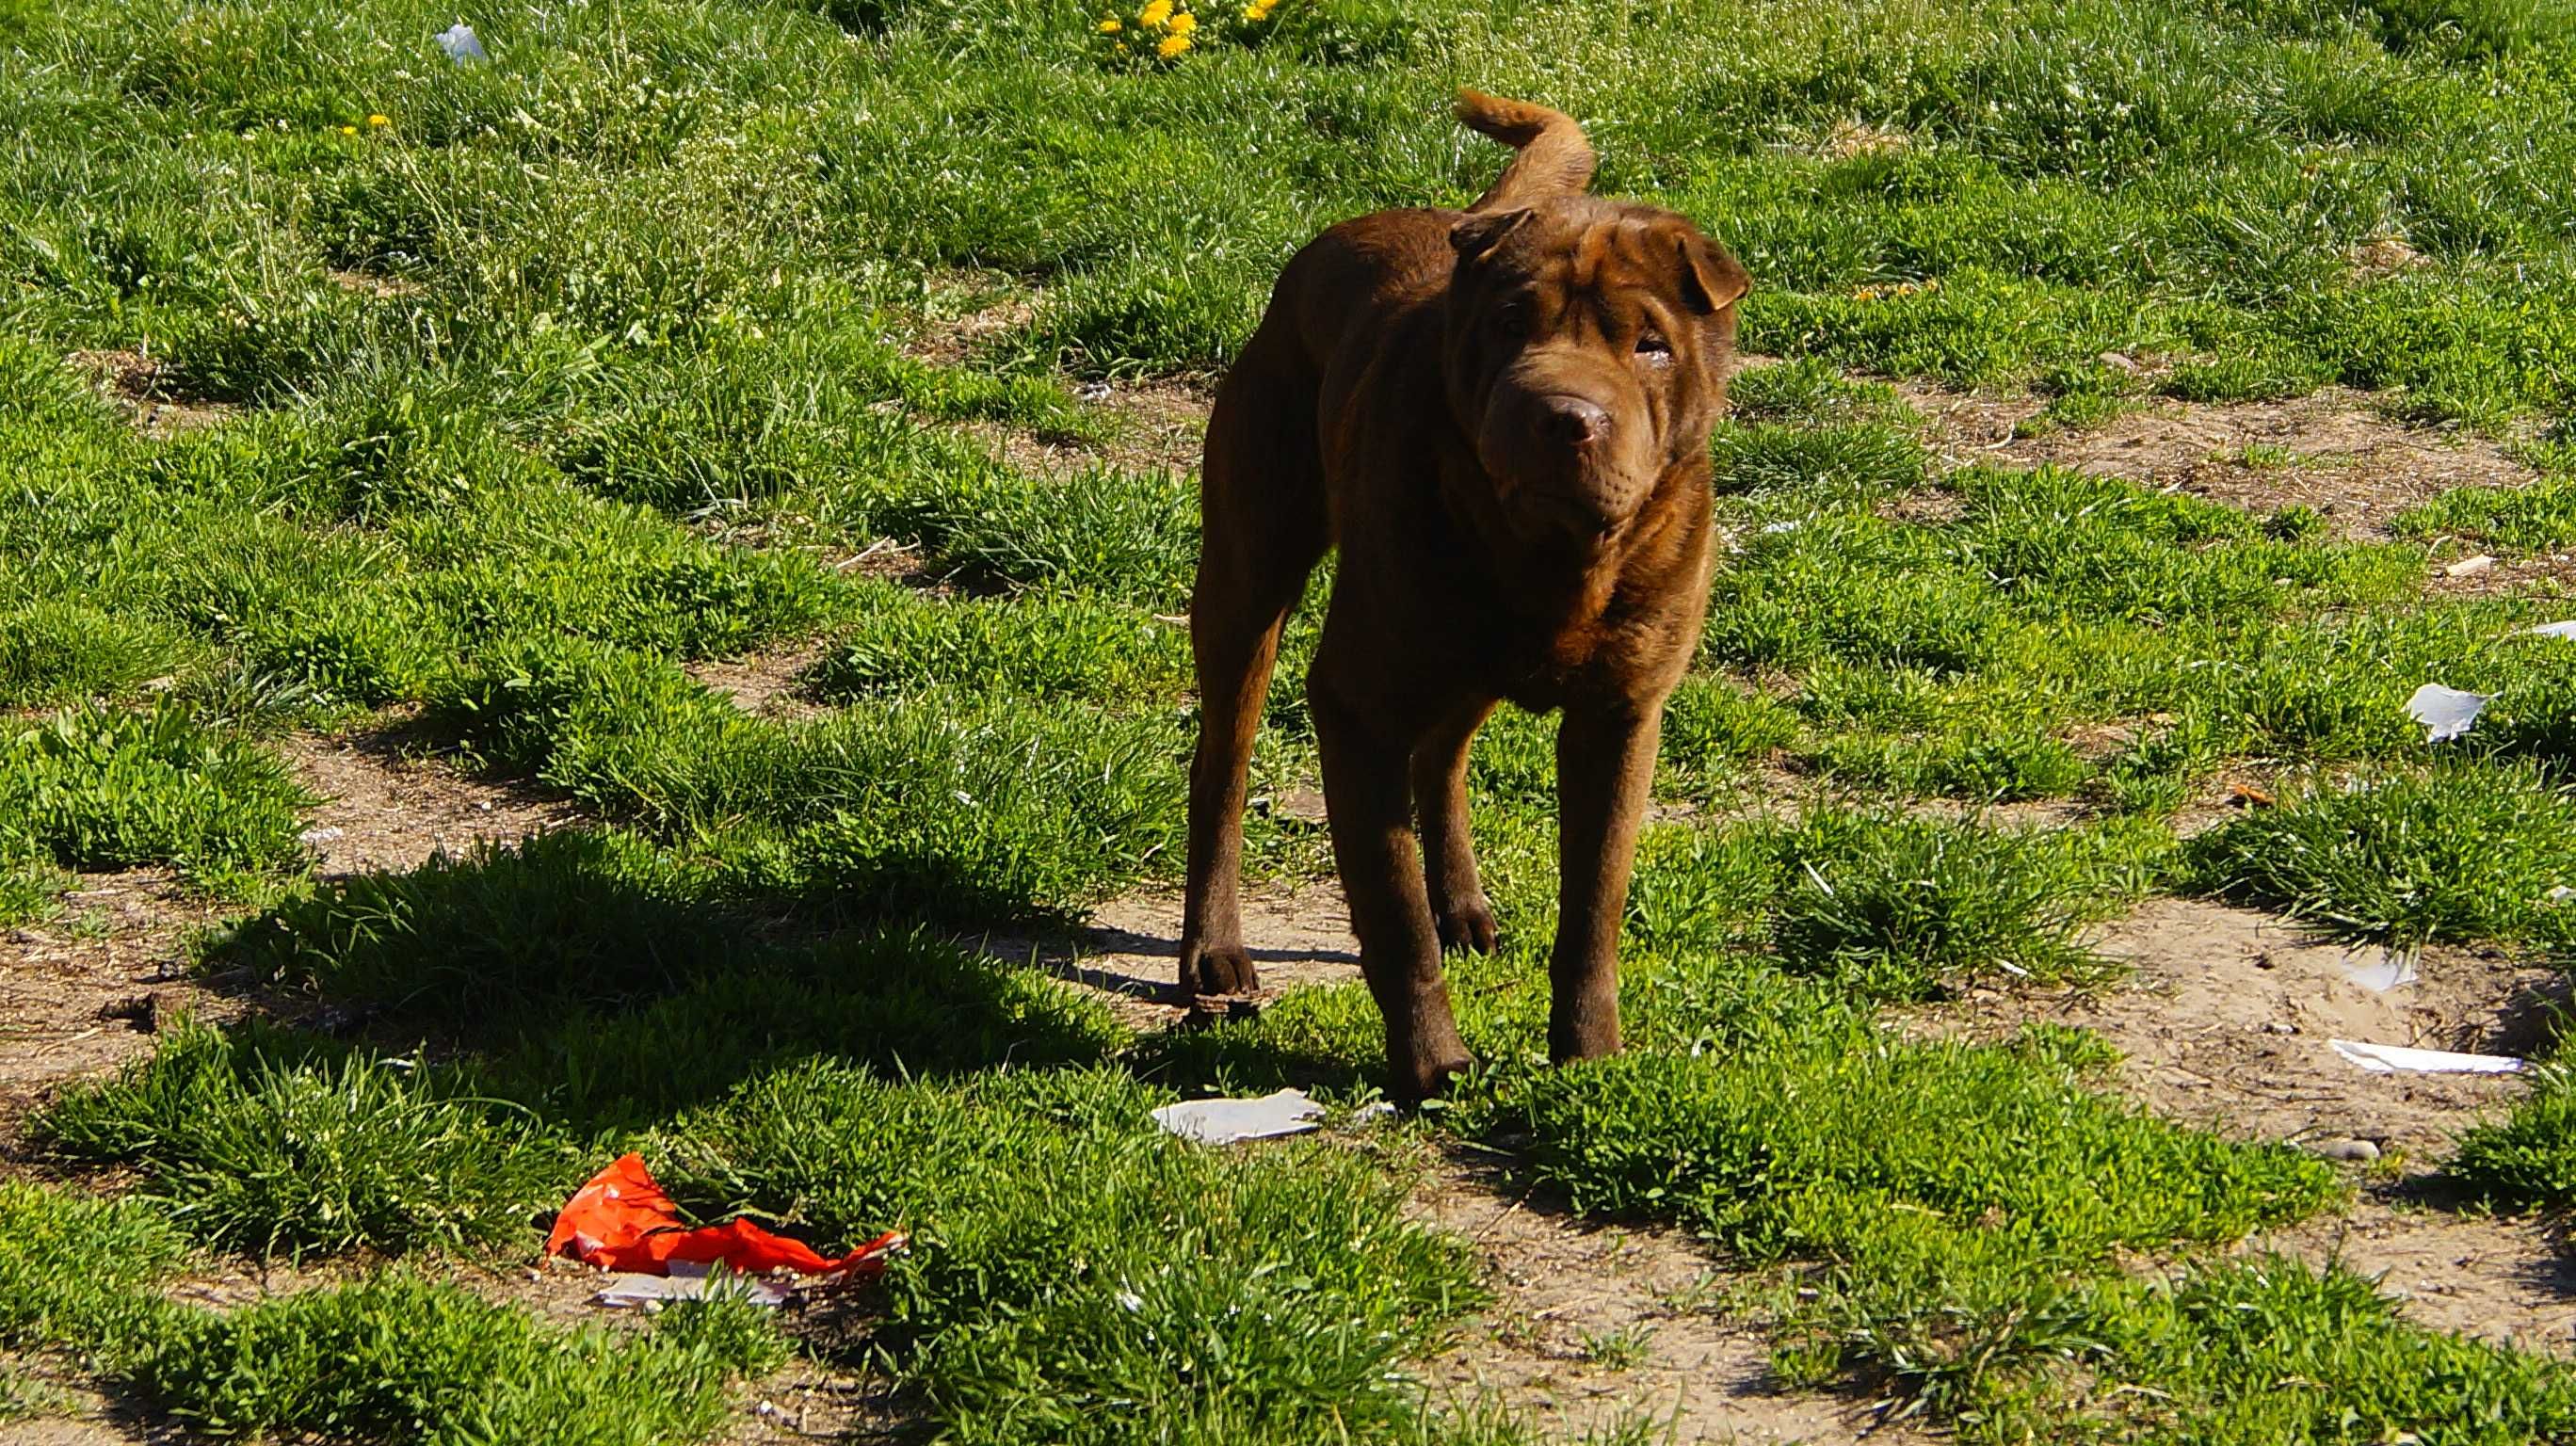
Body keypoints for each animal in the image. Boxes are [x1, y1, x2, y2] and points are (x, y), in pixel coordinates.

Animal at [1180, 92, 1751, 1092]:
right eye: (1513, 325)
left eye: (1650, 345)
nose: (1563, 416)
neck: (1551, 562)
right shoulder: (1357, 702)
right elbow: (1391, 908)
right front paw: (1432, 1064)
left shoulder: (1622, 716)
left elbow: (1594, 905)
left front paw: (1589, 1055)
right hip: (1251, 572)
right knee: (1223, 762)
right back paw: (1213, 951)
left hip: (1454, 658)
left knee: (1442, 755)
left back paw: (1464, 905)